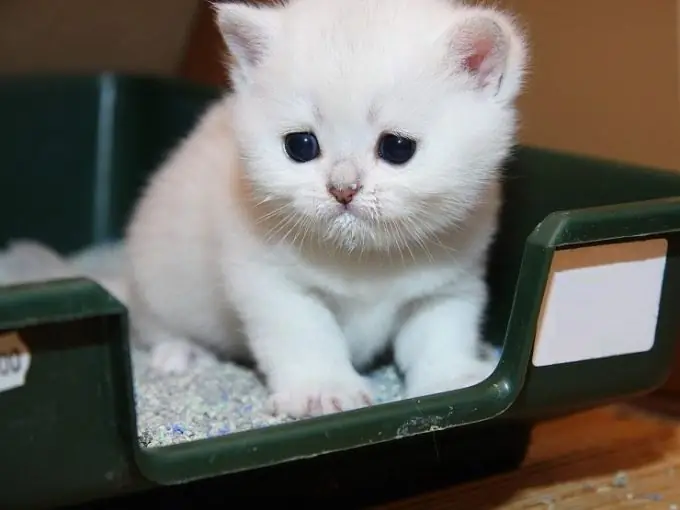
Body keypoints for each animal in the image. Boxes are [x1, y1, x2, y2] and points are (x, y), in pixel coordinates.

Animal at [123, 0, 524, 418]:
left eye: (397, 147)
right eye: (300, 145)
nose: (342, 189)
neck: (365, 258)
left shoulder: (450, 285)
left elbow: (443, 334)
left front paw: (452, 379)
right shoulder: (270, 283)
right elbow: (305, 335)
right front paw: (323, 391)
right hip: (155, 277)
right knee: (154, 326)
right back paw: (181, 353)